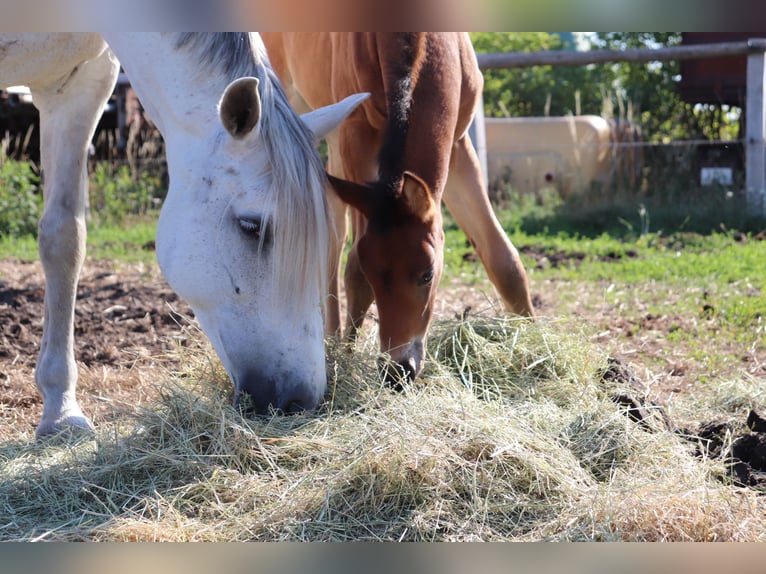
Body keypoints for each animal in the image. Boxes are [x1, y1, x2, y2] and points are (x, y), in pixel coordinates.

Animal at [261, 33, 534, 382]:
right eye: (372, 271)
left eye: (428, 273)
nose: (398, 371)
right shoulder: (356, 138)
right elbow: (354, 269)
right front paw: (344, 359)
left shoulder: (458, 143)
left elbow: (503, 259)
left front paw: (535, 343)